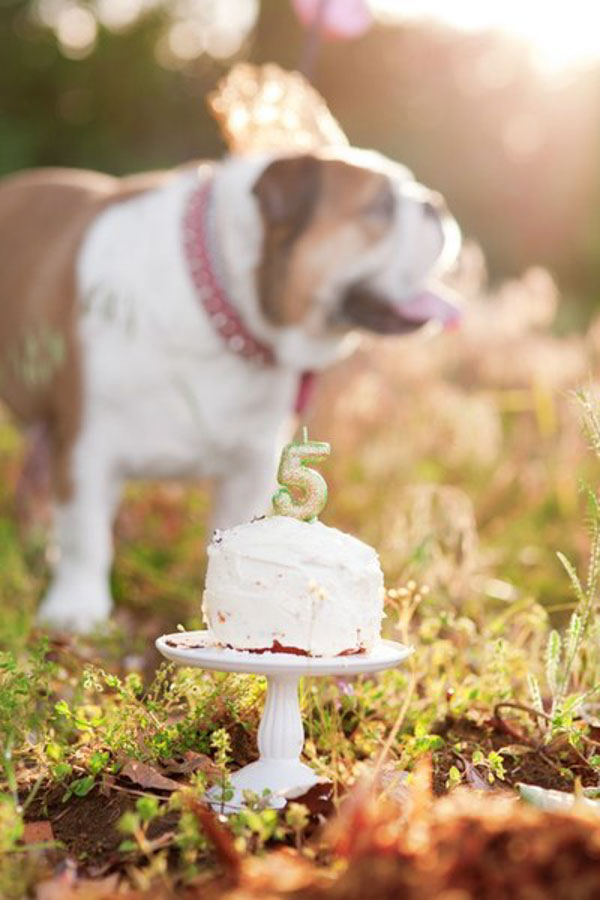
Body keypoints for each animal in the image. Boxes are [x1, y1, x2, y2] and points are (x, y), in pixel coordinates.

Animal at [0, 148, 462, 628]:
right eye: (381, 206)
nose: (435, 204)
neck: (225, 307)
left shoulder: (252, 462)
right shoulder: (83, 447)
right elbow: (84, 536)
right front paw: (75, 608)